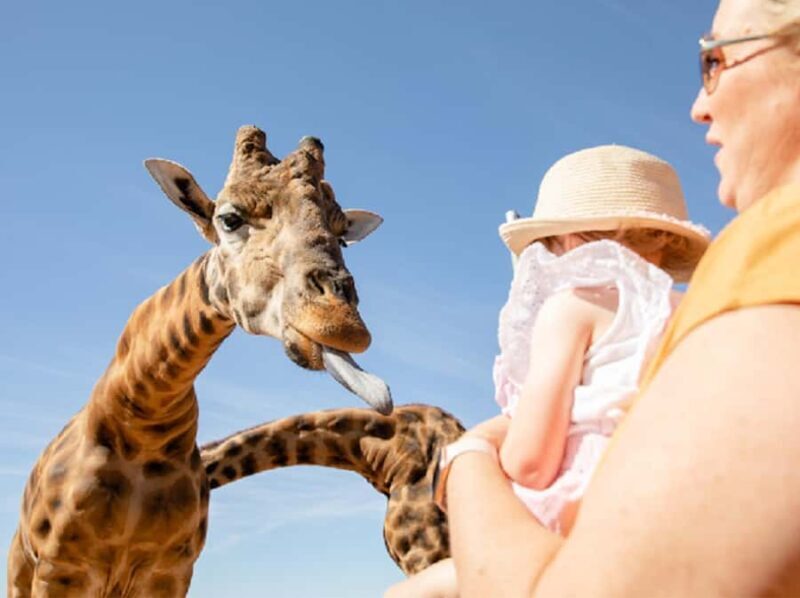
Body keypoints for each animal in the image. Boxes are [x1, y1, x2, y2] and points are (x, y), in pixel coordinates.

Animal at [7, 125, 389, 597]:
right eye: (229, 218)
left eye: (342, 233)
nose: (342, 324)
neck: (142, 424)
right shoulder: (61, 569)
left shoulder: (171, 572)